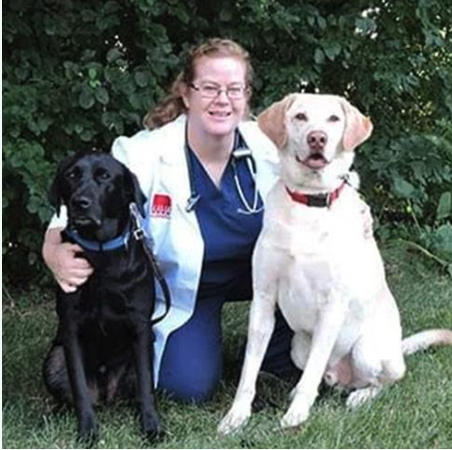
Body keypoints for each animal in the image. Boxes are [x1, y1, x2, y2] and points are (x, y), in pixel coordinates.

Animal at [43, 151, 163, 442]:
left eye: (104, 176)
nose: (80, 203)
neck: (99, 254)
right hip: (54, 358)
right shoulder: (71, 329)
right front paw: (87, 429)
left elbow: (146, 385)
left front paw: (151, 426)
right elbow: (79, 389)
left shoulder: (140, 326)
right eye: (71, 175)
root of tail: (106, 395)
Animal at [218, 93, 452, 434]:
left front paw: (296, 416)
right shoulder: (263, 299)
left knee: (383, 381)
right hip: (297, 346)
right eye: (300, 116)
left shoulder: (333, 305)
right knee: (322, 376)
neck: (309, 202)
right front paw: (236, 416)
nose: (317, 138)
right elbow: (250, 371)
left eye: (333, 119)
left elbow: (313, 373)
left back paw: (359, 397)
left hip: (367, 351)